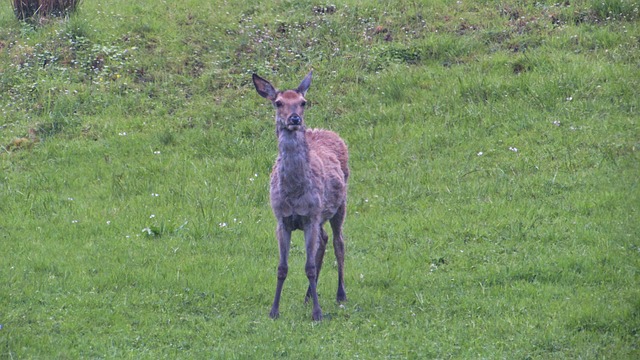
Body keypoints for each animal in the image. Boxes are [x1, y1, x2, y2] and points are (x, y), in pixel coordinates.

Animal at [251, 70, 350, 320]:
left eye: (303, 102)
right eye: (278, 102)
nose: (295, 119)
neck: (294, 193)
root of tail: (327, 131)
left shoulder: (310, 218)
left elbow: (309, 267)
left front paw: (317, 313)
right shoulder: (282, 219)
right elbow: (282, 268)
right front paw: (274, 311)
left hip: (339, 205)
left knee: (339, 243)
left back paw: (340, 294)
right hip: (321, 215)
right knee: (324, 240)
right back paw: (306, 297)